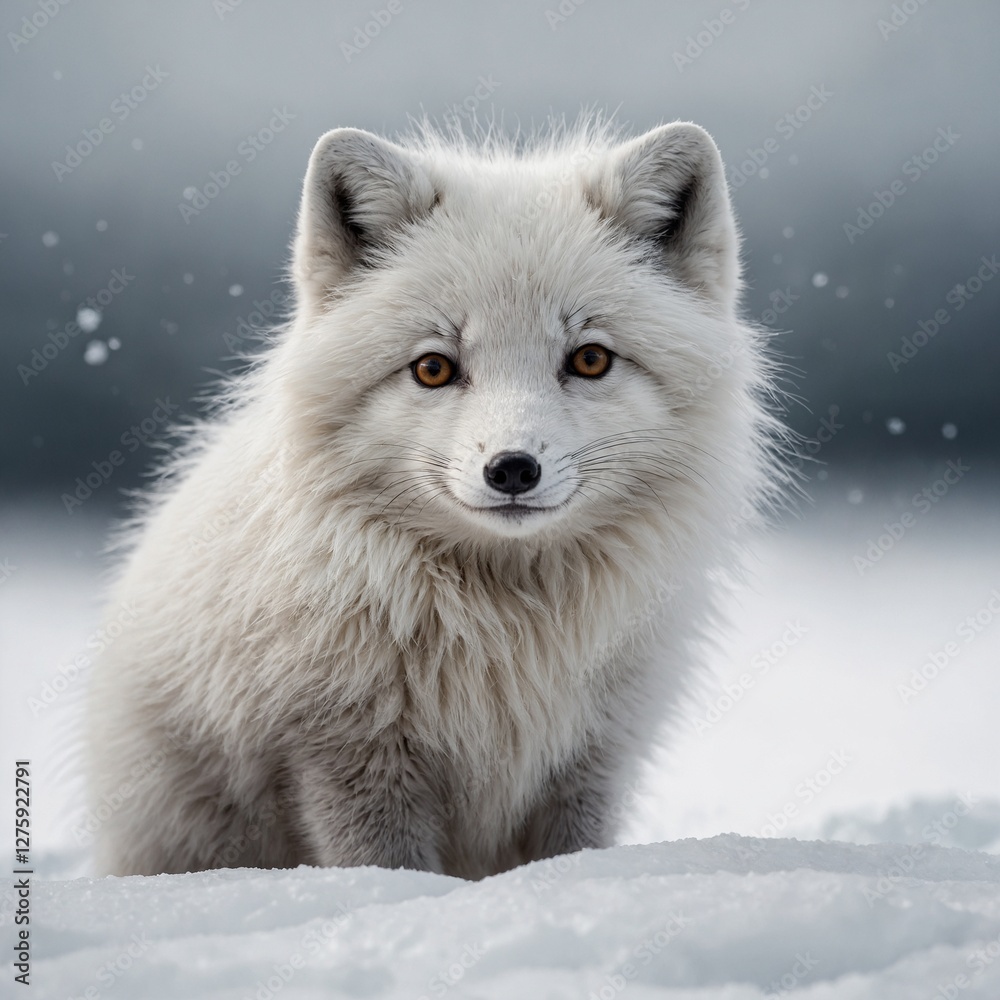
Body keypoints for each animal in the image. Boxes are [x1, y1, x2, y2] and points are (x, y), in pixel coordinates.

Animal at [86, 118, 784, 879]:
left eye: (590, 359)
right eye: (433, 369)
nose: (512, 468)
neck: (508, 630)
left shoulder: (589, 758)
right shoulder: (344, 752)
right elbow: (388, 868)